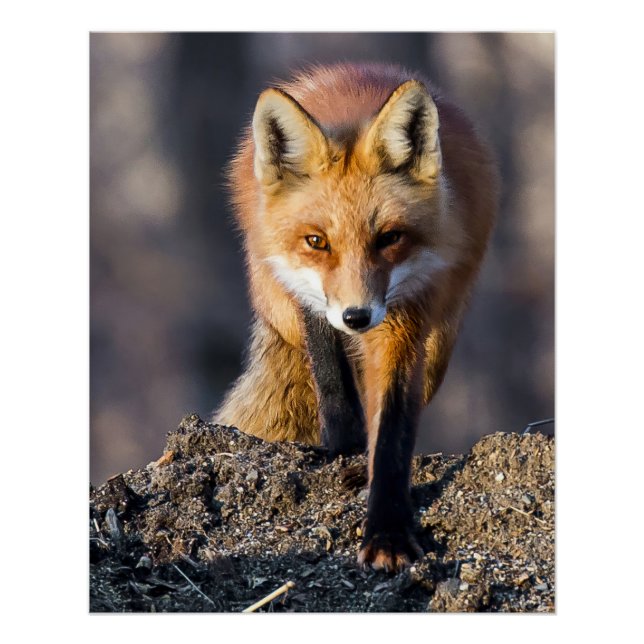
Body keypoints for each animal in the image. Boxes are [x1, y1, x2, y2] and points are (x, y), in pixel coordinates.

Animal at [215, 62, 498, 572]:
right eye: (316, 242)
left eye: (389, 238)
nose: (357, 316)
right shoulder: (307, 297)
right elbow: (331, 379)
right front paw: (344, 447)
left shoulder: (406, 317)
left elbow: (392, 429)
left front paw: (387, 530)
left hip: (441, 341)